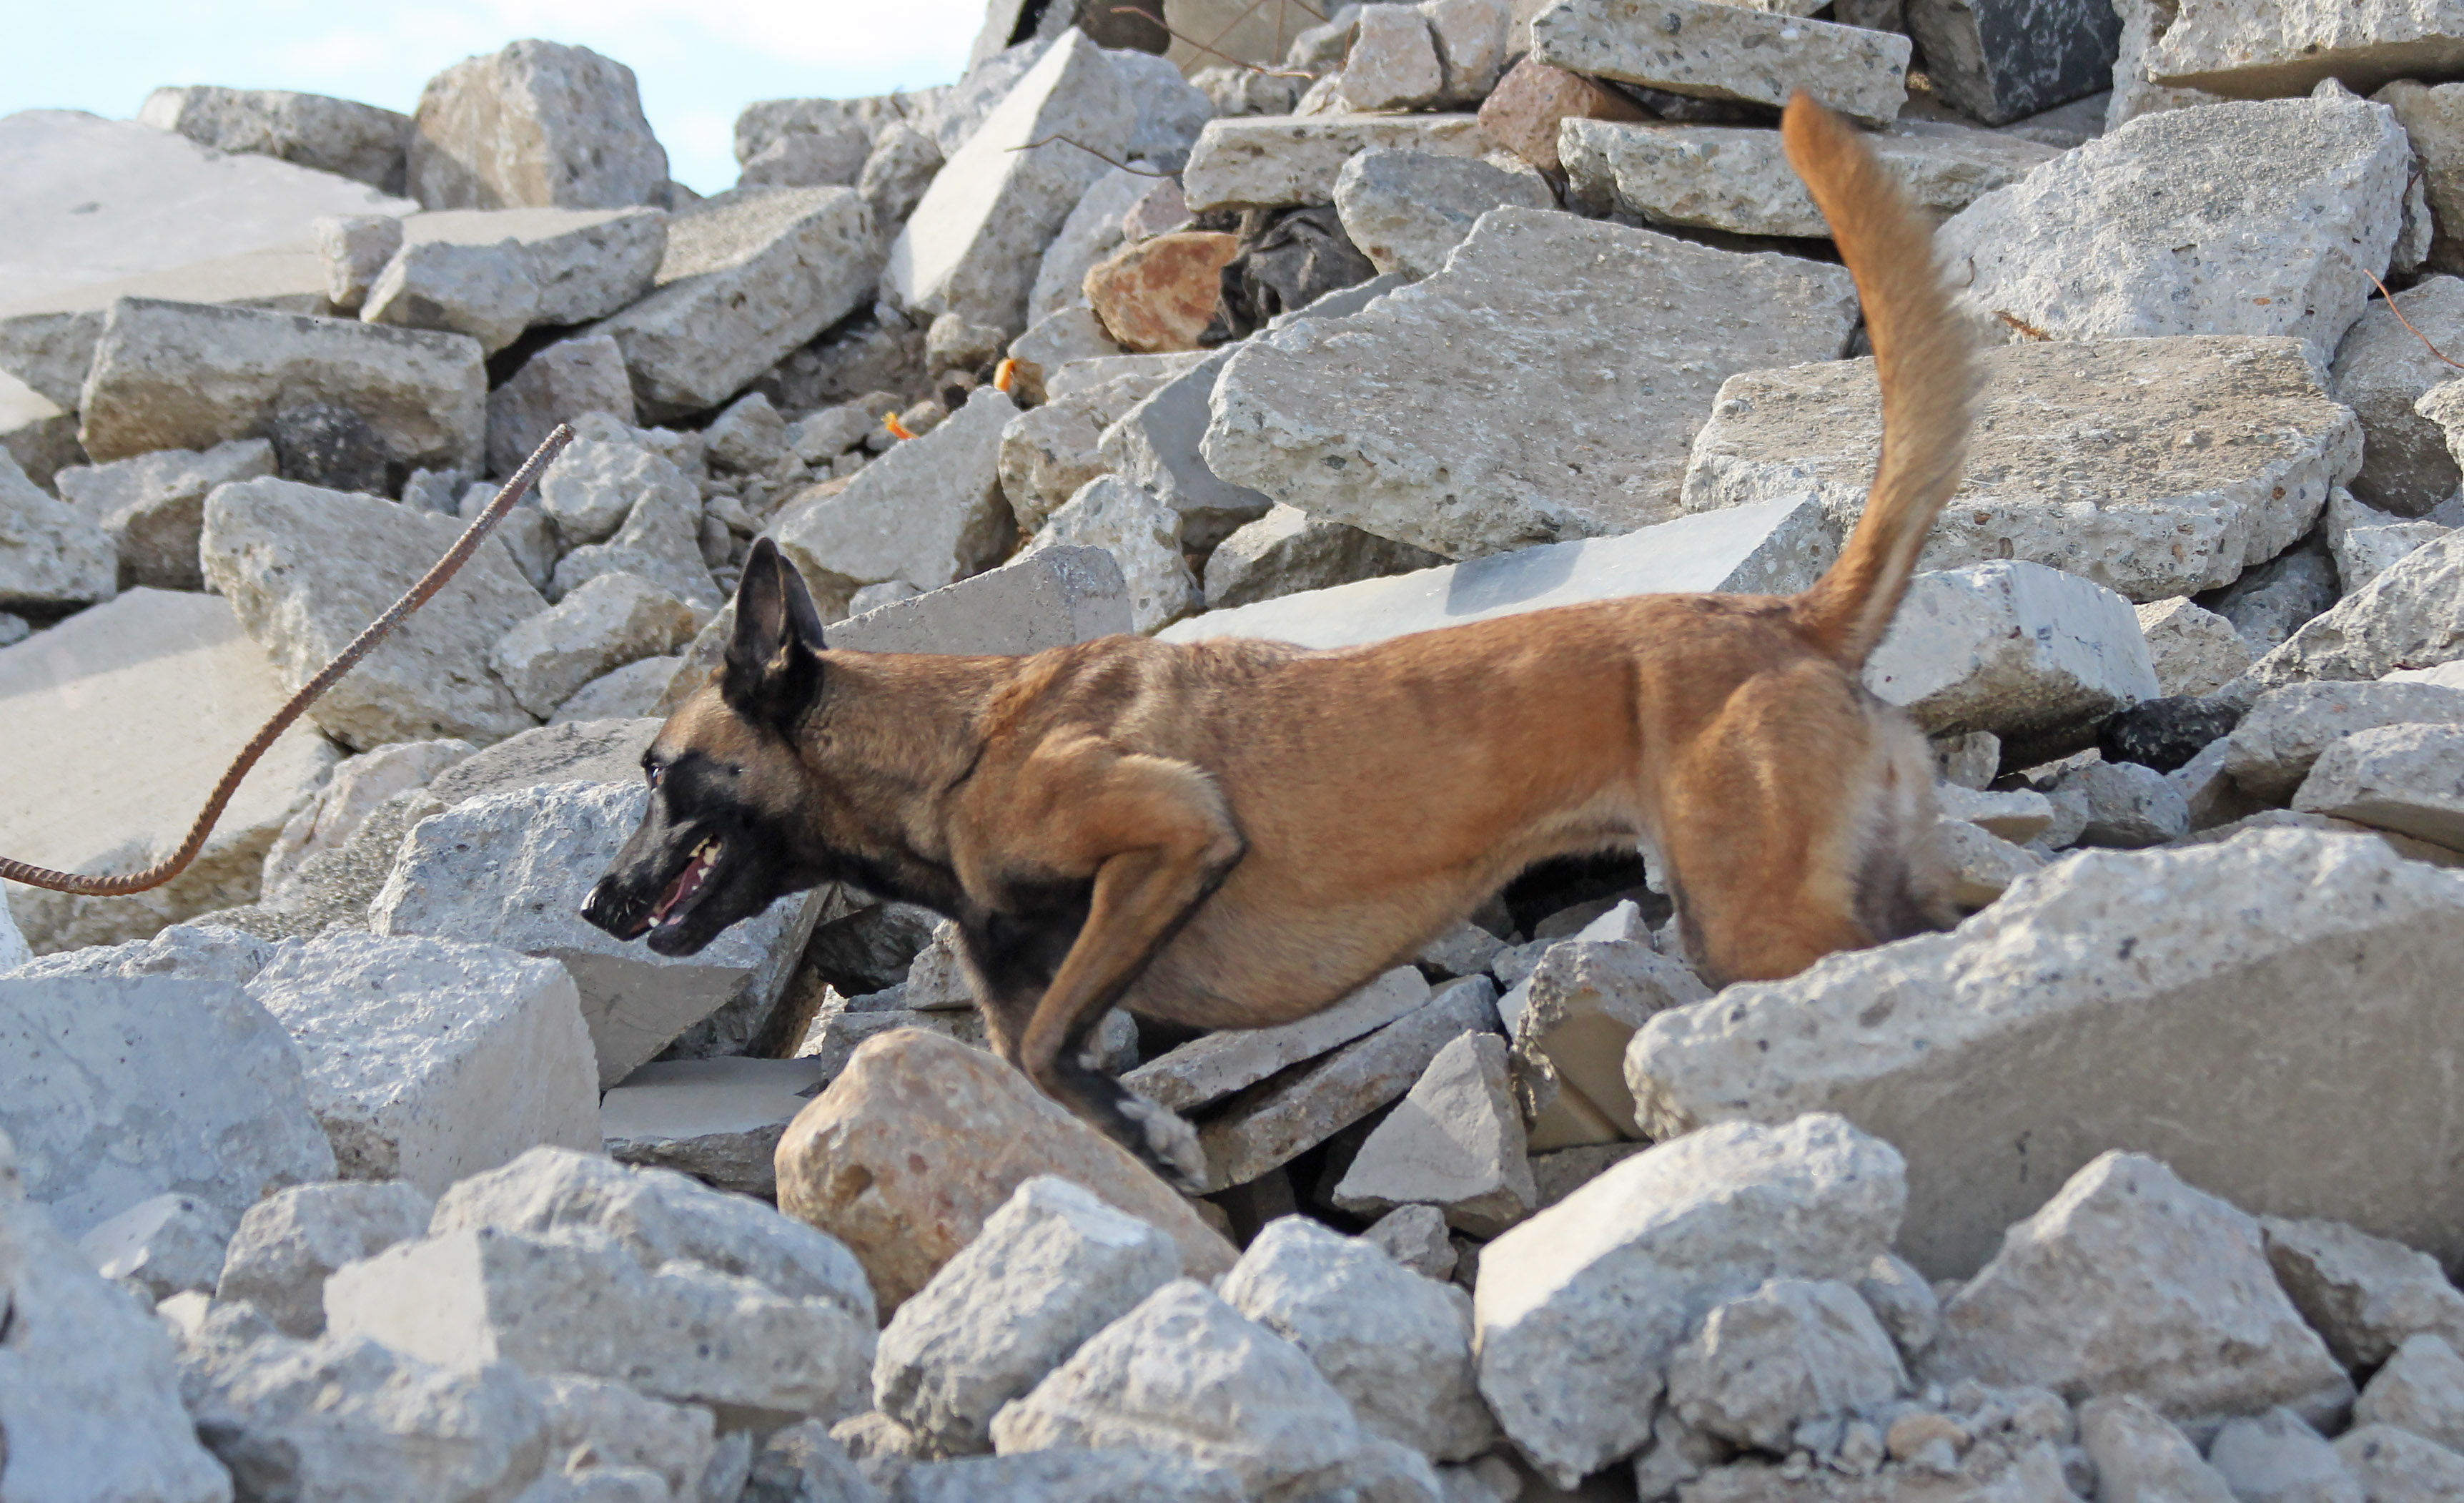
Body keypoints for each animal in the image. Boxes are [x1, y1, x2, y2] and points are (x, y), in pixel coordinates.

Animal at [581, 94, 1973, 1188]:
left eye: (657, 772)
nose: (595, 901)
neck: (951, 753)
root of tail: (1786, 617)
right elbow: (1037, 1057)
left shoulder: (1170, 834)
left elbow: (1054, 1042)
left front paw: (1144, 1124)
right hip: (1855, 890)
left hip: (1761, 920)